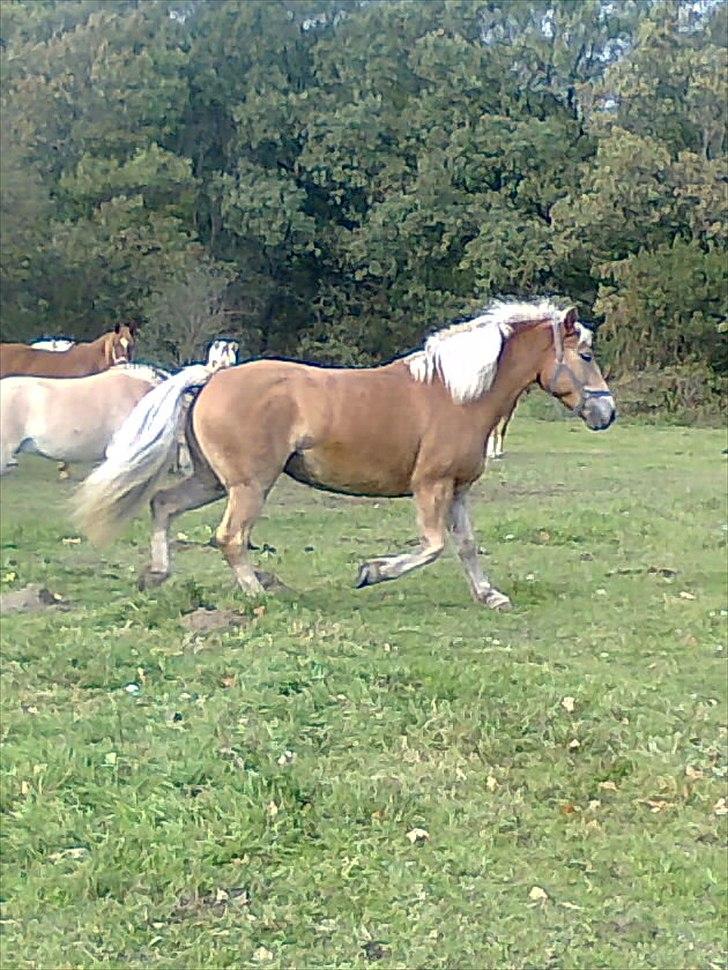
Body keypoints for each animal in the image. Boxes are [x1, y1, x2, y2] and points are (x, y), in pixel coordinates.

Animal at [72, 298, 616, 608]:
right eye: (587, 355)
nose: (606, 414)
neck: (457, 394)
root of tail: (212, 377)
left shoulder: (457, 488)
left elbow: (465, 546)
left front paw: (489, 595)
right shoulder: (431, 486)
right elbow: (433, 546)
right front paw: (370, 572)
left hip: (211, 481)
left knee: (162, 503)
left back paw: (157, 575)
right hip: (249, 486)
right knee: (229, 538)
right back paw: (259, 595)